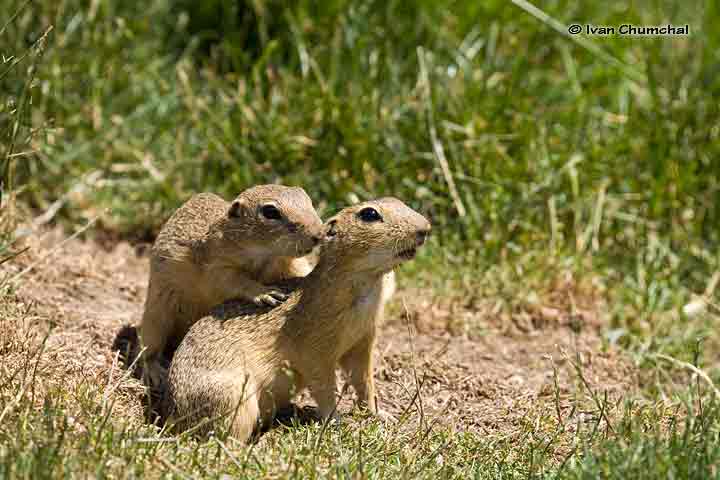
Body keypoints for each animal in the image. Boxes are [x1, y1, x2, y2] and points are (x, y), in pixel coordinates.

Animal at [138, 186, 324, 384]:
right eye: (270, 212)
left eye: (307, 198)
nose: (319, 234)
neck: (265, 256)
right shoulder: (217, 266)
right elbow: (234, 281)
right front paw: (265, 293)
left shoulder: (289, 263)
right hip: (156, 315)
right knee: (148, 348)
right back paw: (155, 372)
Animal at [166, 197, 430, 440]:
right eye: (369, 214)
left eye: (398, 201)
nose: (425, 228)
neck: (367, 290)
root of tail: (175, 419)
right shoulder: (316, 349)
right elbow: (324, 387)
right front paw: (337, 422)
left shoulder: (362, 342)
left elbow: (364, 381)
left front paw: (380, 414)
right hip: (233, 401)